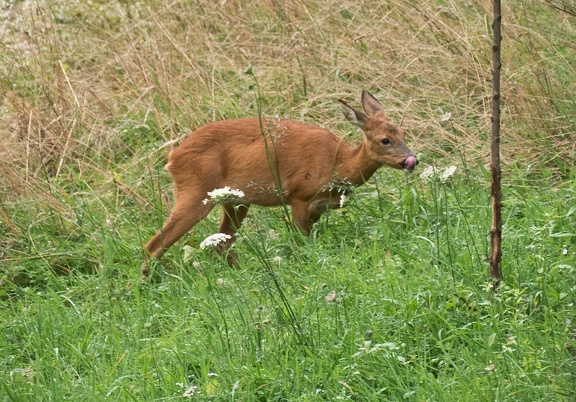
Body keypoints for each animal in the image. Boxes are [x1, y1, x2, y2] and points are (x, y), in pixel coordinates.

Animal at [142, 90, 416, 274]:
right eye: (384, 140)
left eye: (403, 133)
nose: (410, 160)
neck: (339, 163)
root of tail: (172, 158)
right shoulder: (300, 196)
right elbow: (299, 242)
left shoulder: (318, 208)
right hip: (196, 192)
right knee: (153, 244)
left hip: (235, 200)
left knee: (224, 242)